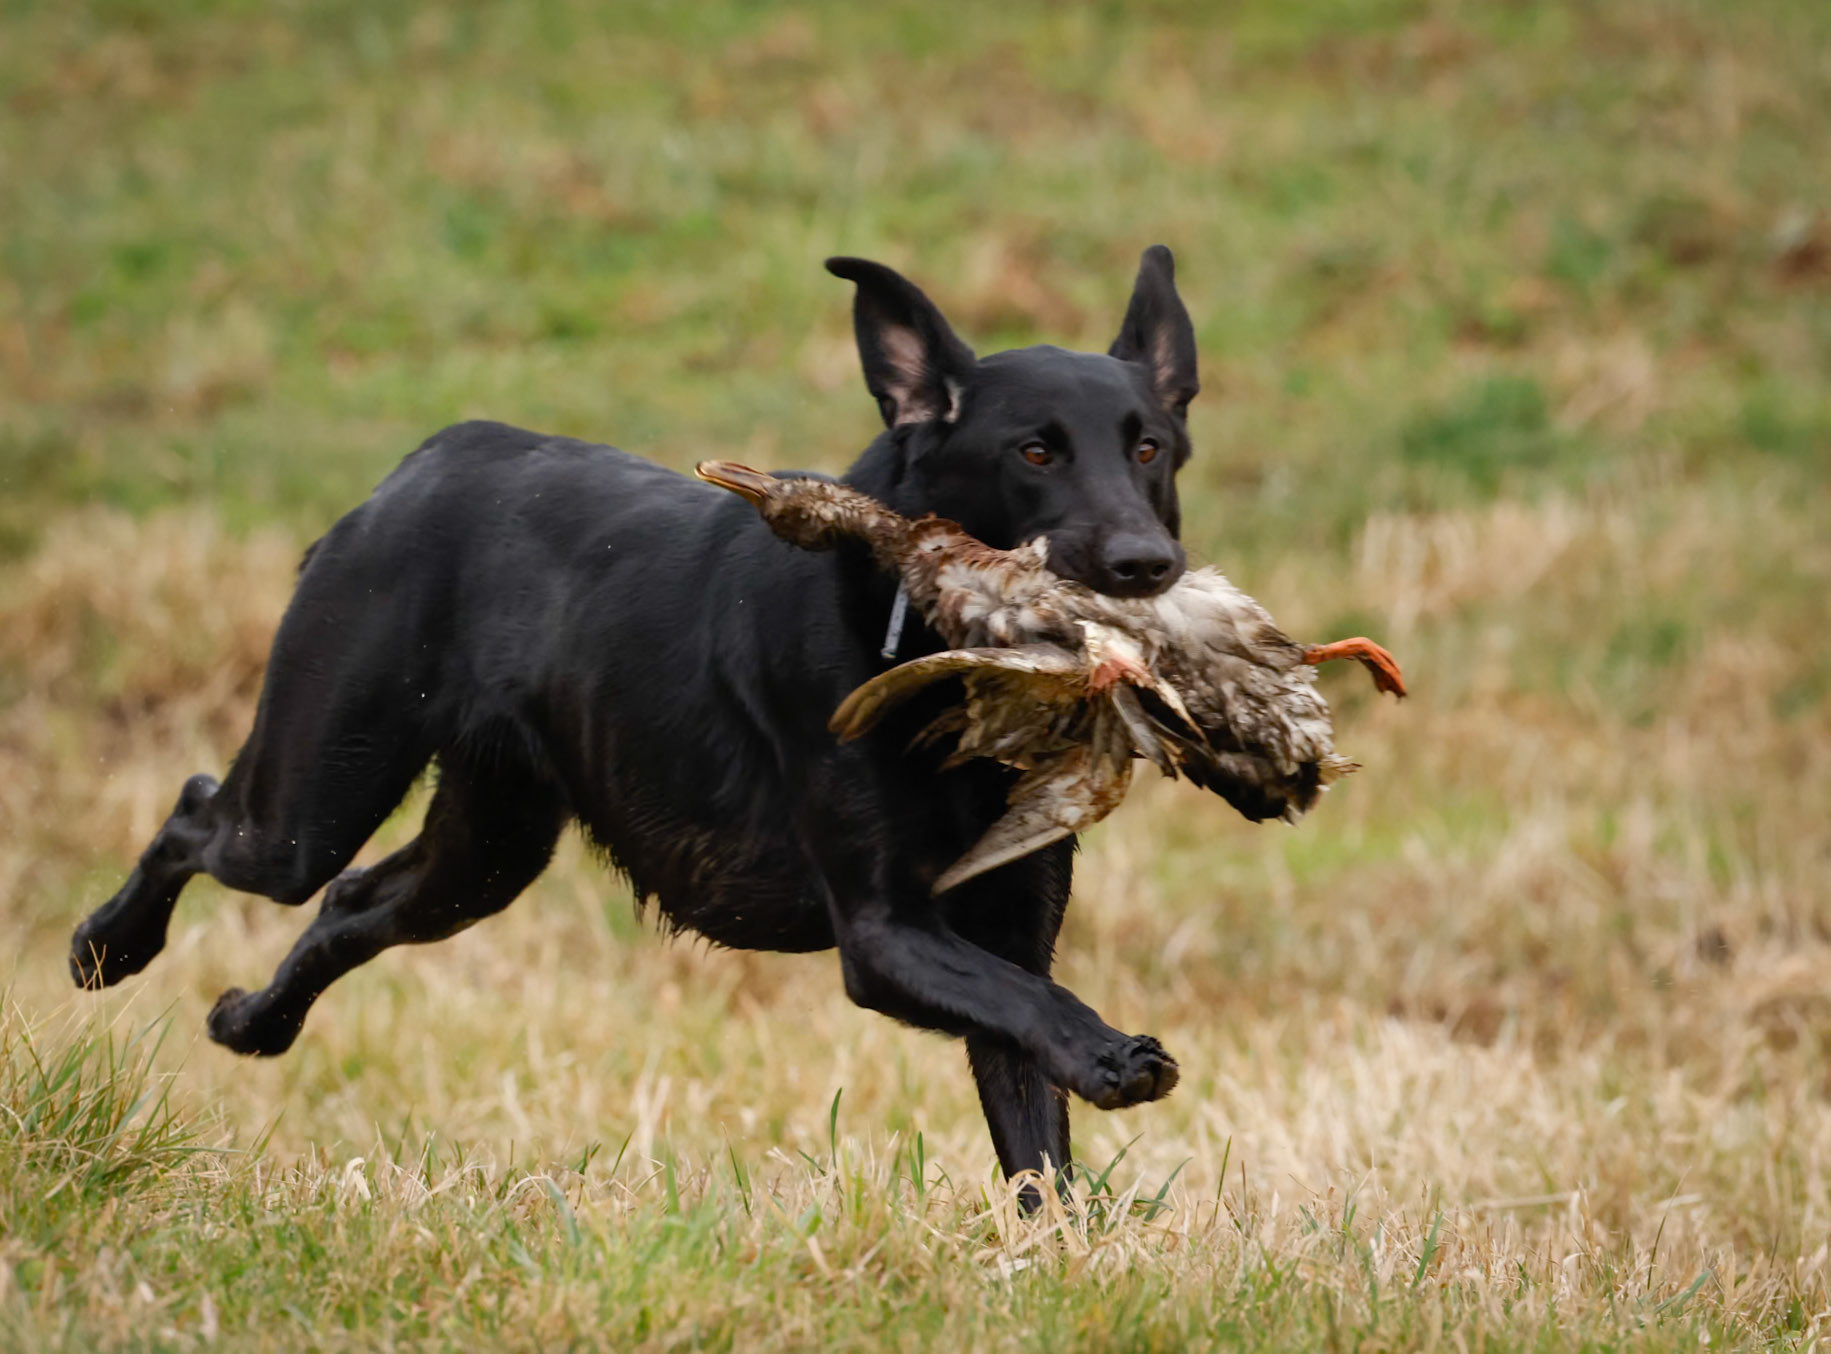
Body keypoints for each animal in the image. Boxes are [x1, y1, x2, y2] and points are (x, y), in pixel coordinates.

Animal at [70, 246, 1202, 1197]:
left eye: (1148, 447)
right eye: (1034, 453)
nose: (1146, 565)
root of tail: (438, 454)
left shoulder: (1008, 930)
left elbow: (1036, 1131)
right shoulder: (885, 933)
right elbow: (1033, 1010)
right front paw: (1112, 1053)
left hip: (482, 854)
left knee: (349, 903)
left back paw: (252, 1023)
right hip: (314, 796)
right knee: (199, 816)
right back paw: (106, 948)